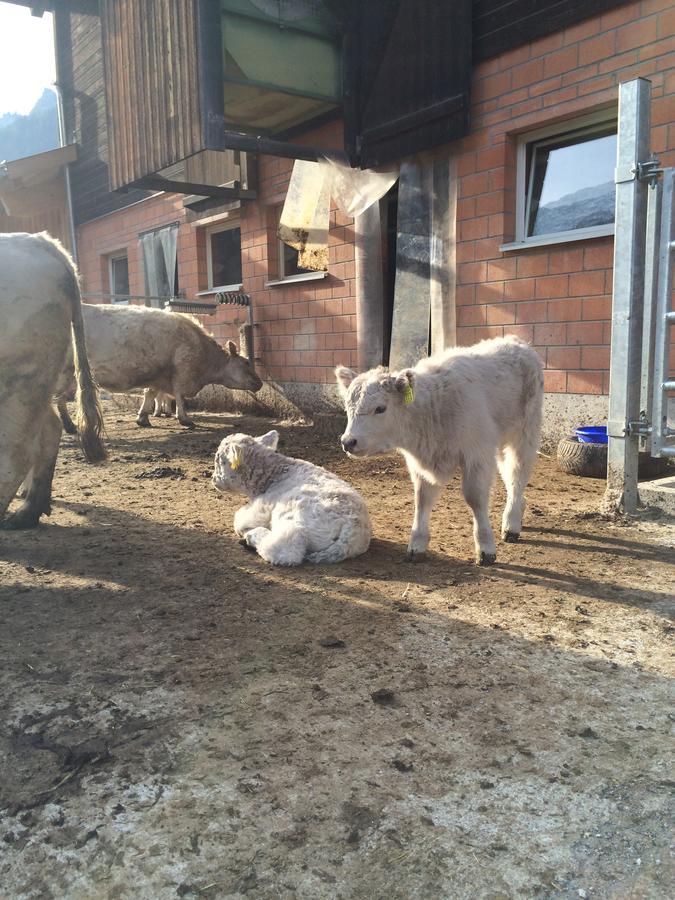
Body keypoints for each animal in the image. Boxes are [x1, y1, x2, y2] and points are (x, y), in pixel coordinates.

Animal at [56, 302, 264, 428]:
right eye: (246, 362)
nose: (260, 383)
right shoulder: (183, 371)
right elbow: (179, 396)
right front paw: (184, 419)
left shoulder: (158, 375)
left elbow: (151, 394)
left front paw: (143, 417)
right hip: (63, 371)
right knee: (57, 398)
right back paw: (69, 426)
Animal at [213, 432, 372, 568]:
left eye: (219, 460)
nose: (213, 479)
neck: (273, 475)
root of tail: (354, 527)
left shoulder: (263, 507)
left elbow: (240, 521)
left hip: (293, 512)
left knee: (286, 549)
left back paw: (252, 537)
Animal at [336, 334, 544, 568]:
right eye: (347, 407)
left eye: (380, 408)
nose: (348, 442)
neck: (433, 408)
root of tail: (515, 341)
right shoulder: (419, 464)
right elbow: (422, 498)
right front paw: (417, 544)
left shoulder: (477, 454)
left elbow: (475, 498)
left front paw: (485, 547)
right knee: (509, 475)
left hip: (525, 433)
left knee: (517, 475)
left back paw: (511, 523)